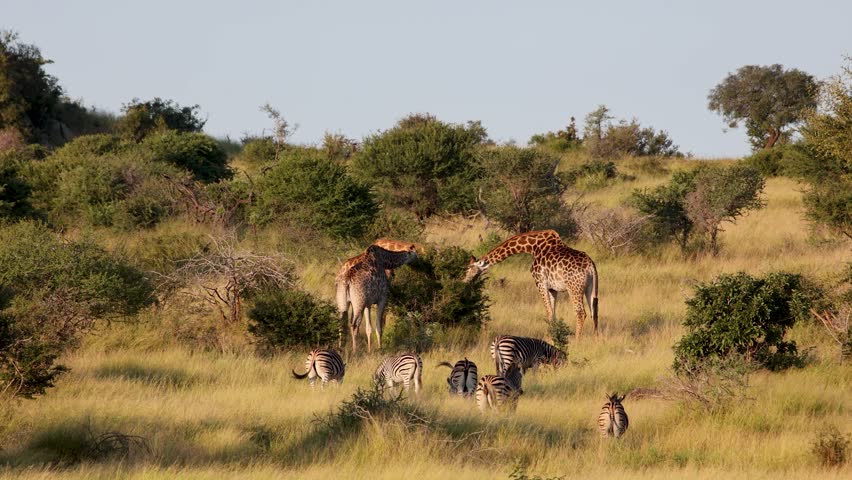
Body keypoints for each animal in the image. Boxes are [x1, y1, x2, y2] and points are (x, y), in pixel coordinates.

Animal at [463, 230, 599, 339]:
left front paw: (550, 340)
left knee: (581, 313)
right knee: (594, 312)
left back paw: (577, 341)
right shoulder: (552, 288)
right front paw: (552, 338)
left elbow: (549, 312)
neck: (532, 247)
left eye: (468, 268)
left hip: (573, 288)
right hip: (590, 288)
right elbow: (553, 313)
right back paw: (596, 340)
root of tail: (590, 266)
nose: (464, 281)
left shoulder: (540, 282)